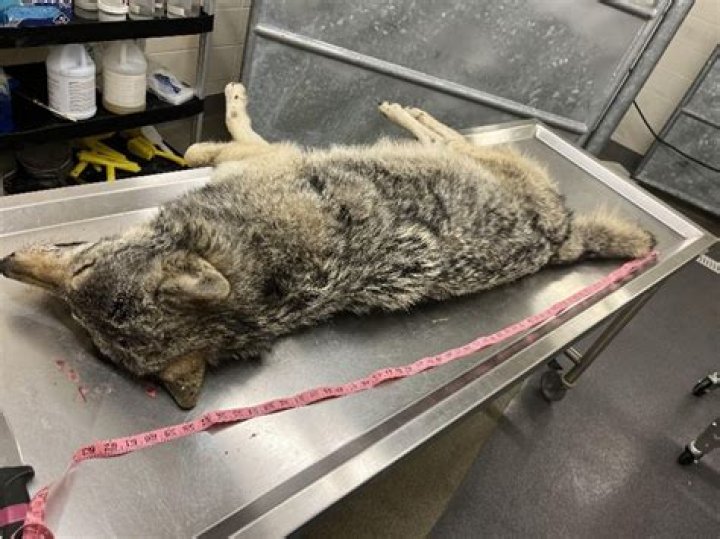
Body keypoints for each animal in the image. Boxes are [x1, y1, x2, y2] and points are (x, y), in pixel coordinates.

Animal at [0, 84, 655, 408]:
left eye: (86, 263)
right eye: (86, 337)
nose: (7, 261)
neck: (257, 266)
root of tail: (562, 238)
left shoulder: (267, 155)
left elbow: (216, 140)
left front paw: (214, 126)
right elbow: (212, 146)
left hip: (470, 157)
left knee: (442, 135)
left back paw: (403, 109)